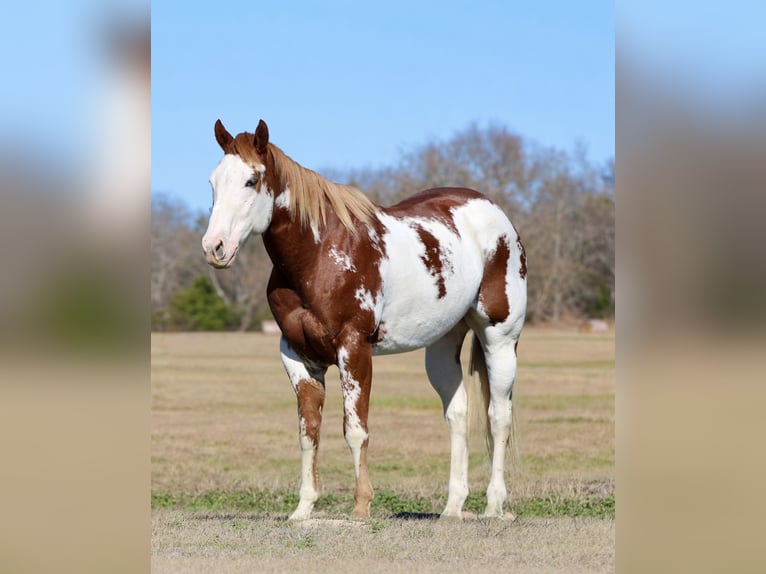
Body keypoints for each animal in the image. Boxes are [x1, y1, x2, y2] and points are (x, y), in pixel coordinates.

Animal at [202, 119, 527, 520]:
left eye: (251, 180)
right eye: (214, 181)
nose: (214, 247)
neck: (318, 255)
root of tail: (495, 214)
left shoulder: (354, 349)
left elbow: (355, 429)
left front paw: (360, 507)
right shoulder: (297, 355)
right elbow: (308, 432)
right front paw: (303, 509)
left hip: (500, 340)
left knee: (499, 417)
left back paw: (494, 504)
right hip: (442, 346)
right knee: (458, 415)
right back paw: (452, 507)